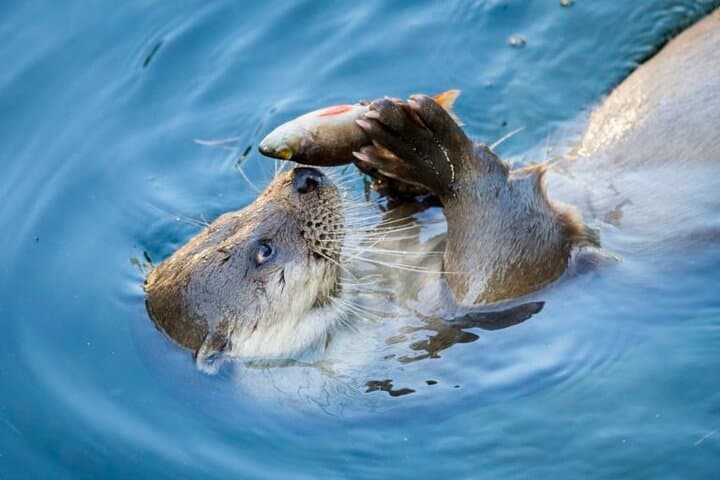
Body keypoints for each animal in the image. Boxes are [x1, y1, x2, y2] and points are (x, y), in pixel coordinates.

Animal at [146, 9, 719, 369]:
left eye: (232, 217)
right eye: (261, 251)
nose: (304, 177)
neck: (385, 296)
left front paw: (392, 162)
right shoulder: (476, 303)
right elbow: (503, 263)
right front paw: (430, 152)